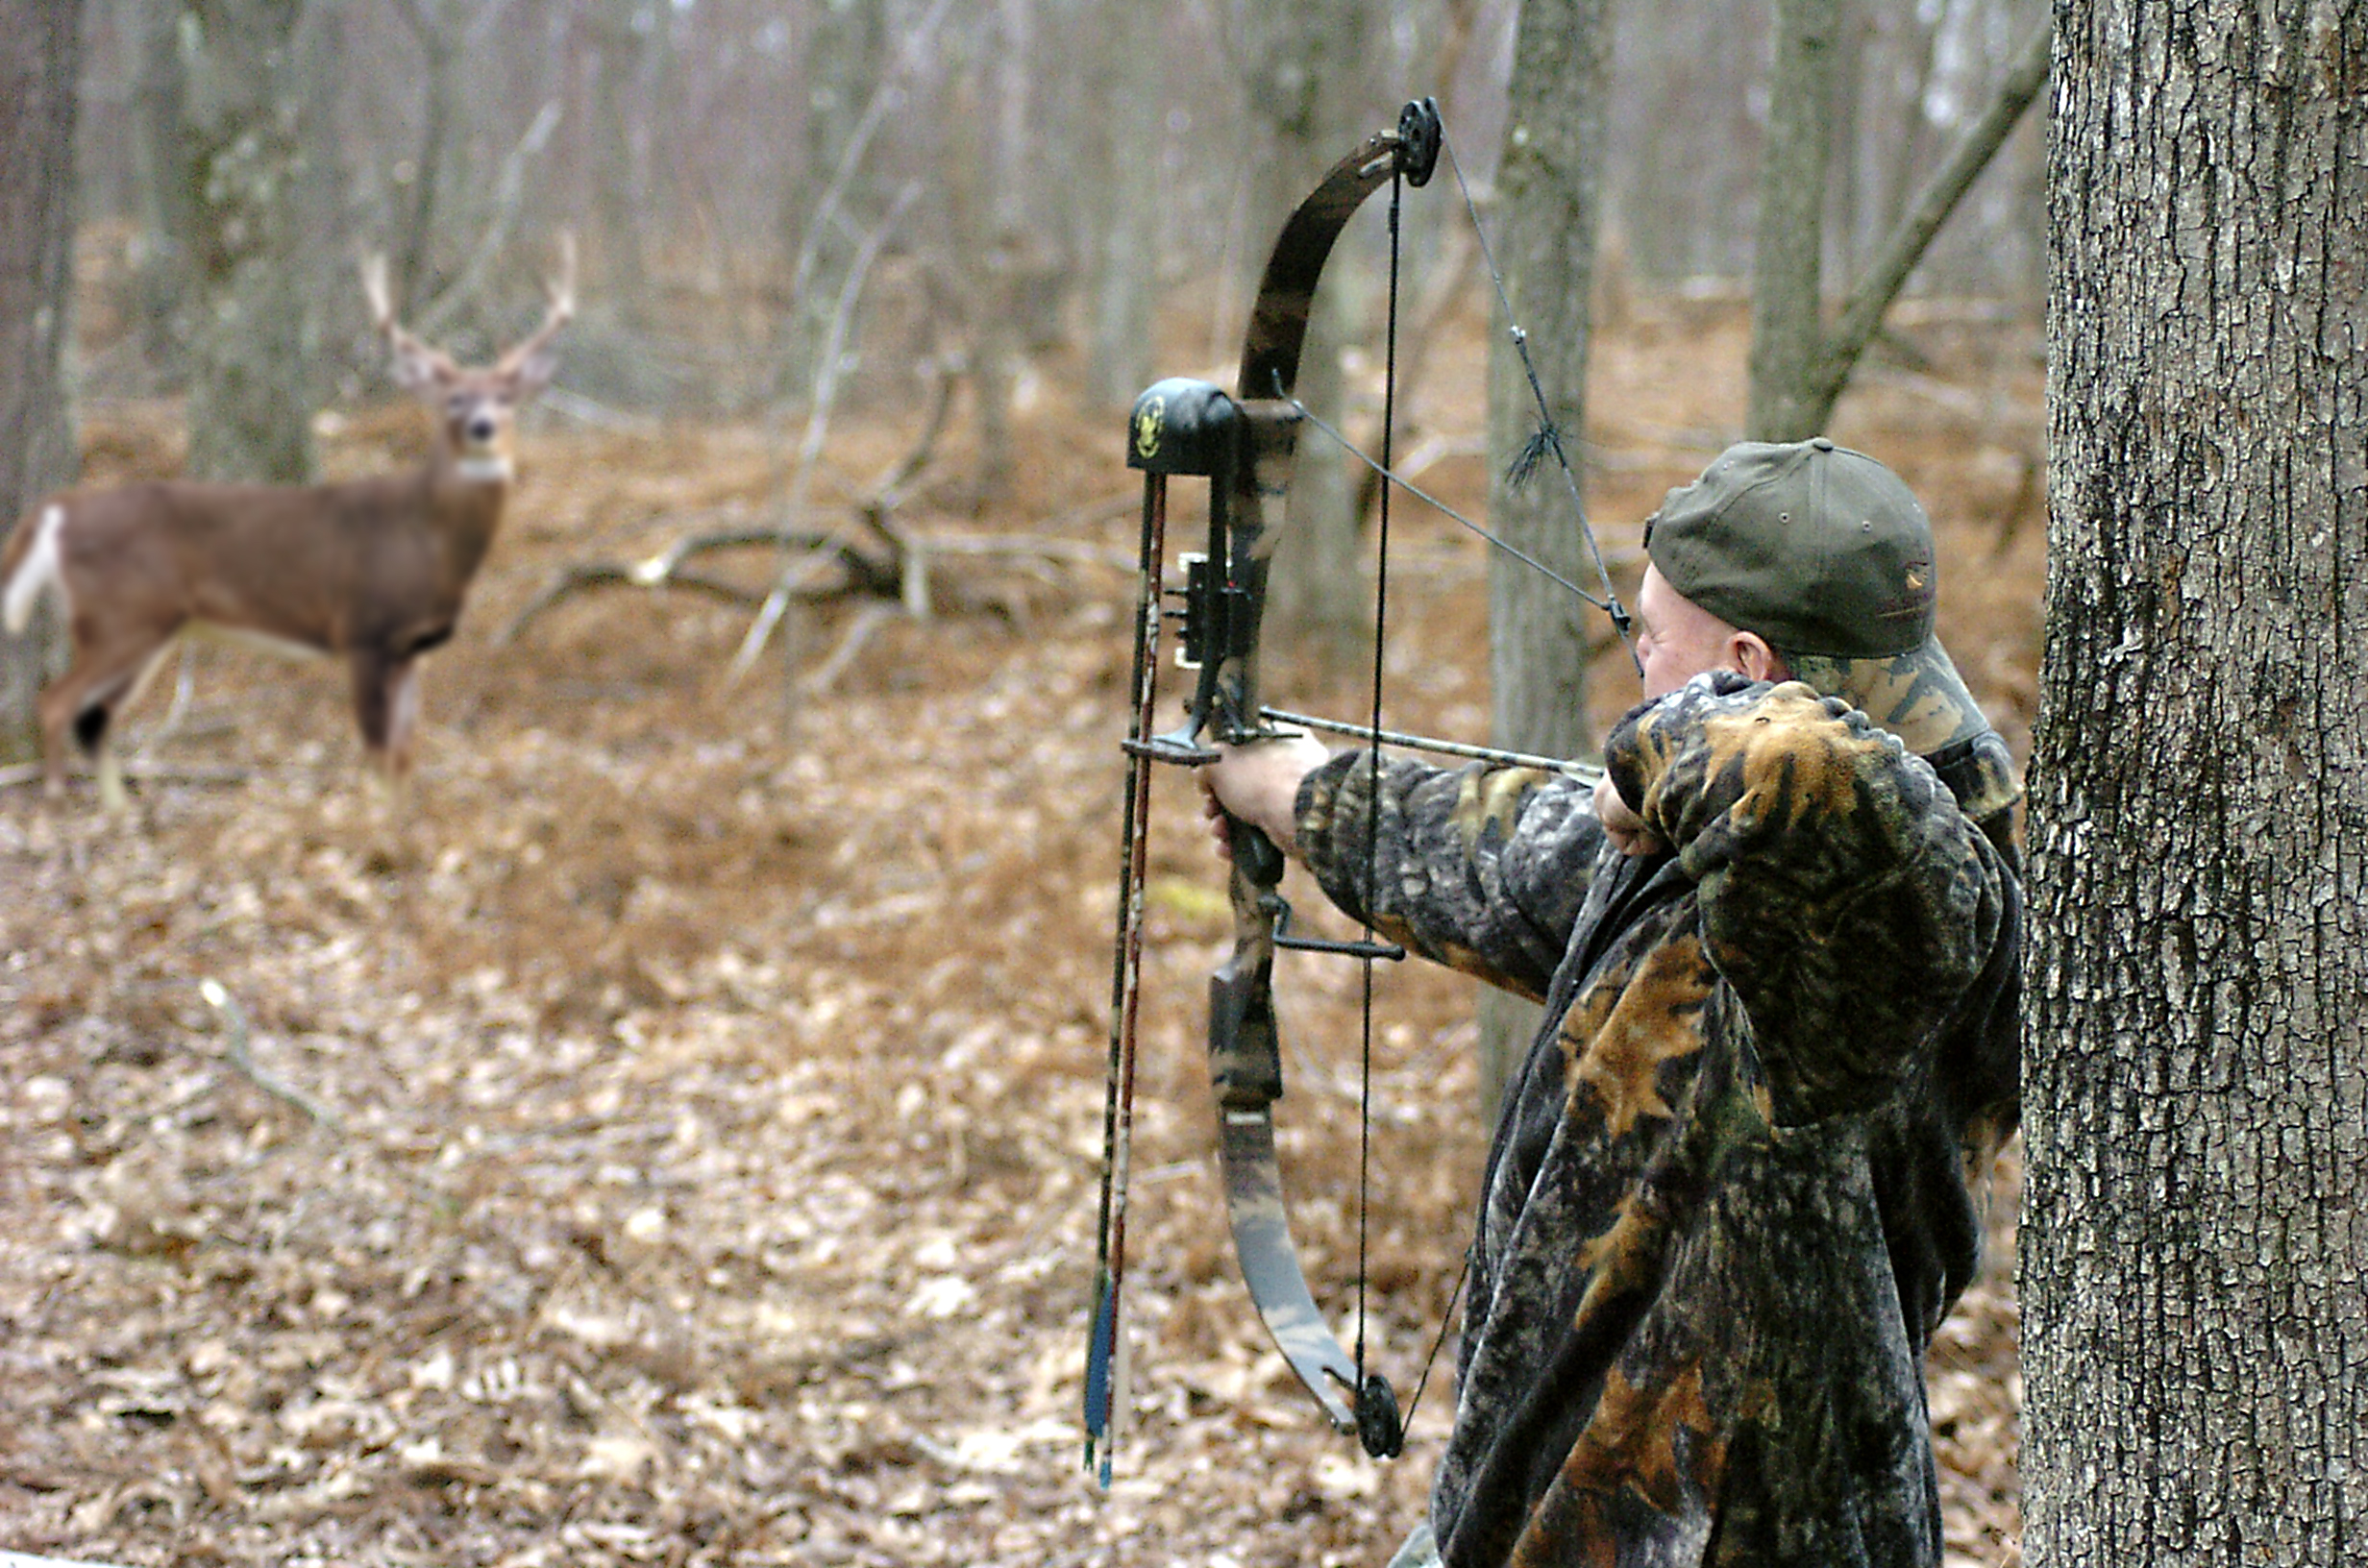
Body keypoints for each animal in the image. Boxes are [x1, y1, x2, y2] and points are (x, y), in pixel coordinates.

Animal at [2, 238, 573, 815]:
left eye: (506, 398)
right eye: (453, 399)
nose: (483, 427)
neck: (426, 544)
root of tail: (58, 512)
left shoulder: (410, 647)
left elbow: (406, 752)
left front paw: (405, 817)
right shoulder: (361, 629)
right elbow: (377, 749)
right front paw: (379, 824)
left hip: (148, 625)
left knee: (95, 718)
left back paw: (120, 814)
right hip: (121, 613)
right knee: (56, 703)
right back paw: (59, 802)